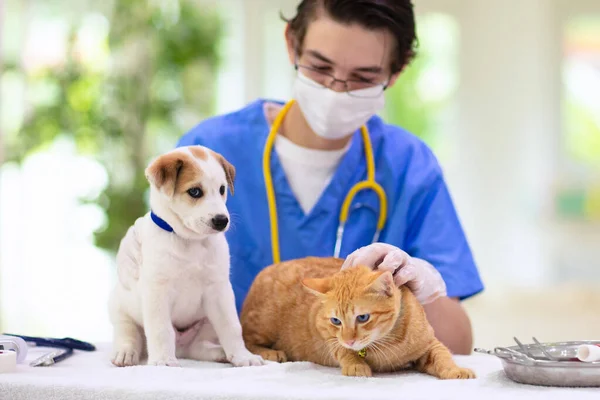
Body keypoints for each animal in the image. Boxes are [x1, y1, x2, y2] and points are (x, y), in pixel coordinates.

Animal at [107, 145, 264, 368]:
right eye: (195, 192)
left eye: (222, 189)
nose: (221, 221)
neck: (190, 242)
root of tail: (180, 348)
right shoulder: (157, 292)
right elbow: (161, 330)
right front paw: (163, 361)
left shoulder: (219, 291)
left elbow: (232, 327)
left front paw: (243, 356)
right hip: (120, 308)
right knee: (128, 333)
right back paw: (126, 353)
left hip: (207, 322)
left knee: (197, 347)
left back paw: (219, 353)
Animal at [241, 256, 476, 378]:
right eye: (336, 320)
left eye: (362, 318)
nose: (350, 340)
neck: (386, 344)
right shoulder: (323, 329)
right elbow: (339, 348)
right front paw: (355, 364)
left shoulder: (429, 344)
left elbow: (443, 355)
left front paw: (455, 370)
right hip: (262, 324)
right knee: (246, 340)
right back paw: (269, 353)